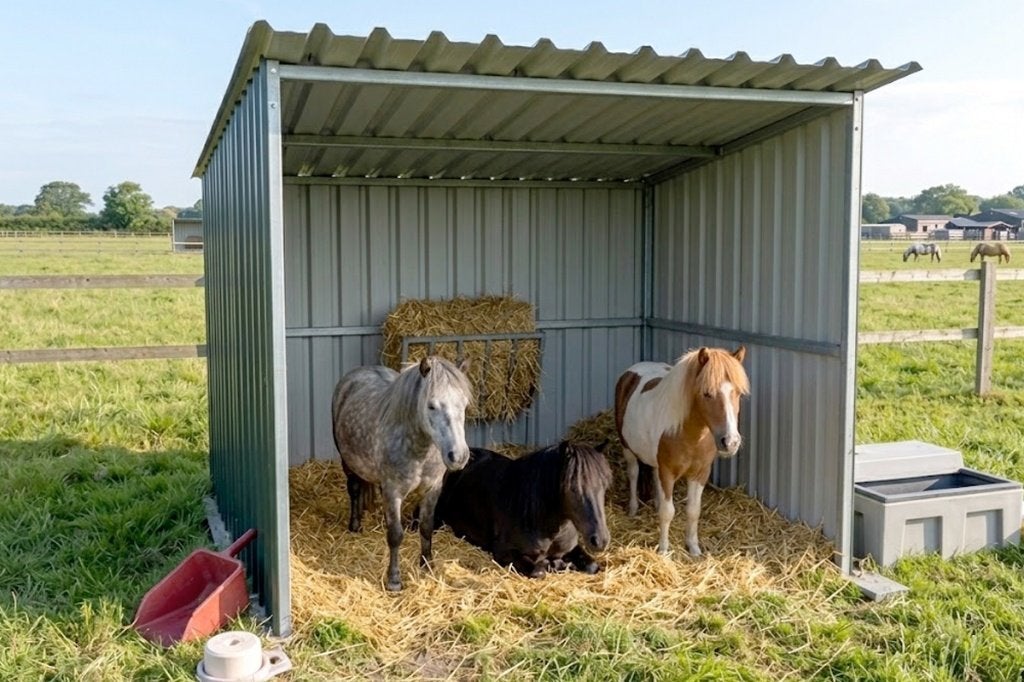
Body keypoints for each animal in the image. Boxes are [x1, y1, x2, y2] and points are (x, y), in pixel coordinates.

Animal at [331, 355, 473, 591]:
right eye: (431, 406)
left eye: (464, 404)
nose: (459, 456)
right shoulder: (393, 491)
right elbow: (395, 535)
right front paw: (394, 580)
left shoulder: (433, 489)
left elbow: (426, 527)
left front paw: (427, 565)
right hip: (348, 463)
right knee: (354, 490)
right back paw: (355, 525)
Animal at [435, 441, 612, 577]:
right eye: (573, 488)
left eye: (604, 485)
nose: (600, 540)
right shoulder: (504, 552)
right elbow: (538, 570)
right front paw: (556, 564)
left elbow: (592, 566)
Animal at [614, 346, 749, 556]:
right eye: (707, 393)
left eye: (738, 394)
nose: (731, 442)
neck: (691, 434)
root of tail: (632, 371)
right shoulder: (668, 472)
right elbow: (668, 512)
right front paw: (663, 550)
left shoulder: (700, 473)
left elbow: (693, 511)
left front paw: (694, 548)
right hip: (627, 448)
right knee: (634, 474)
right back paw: (633, 508)